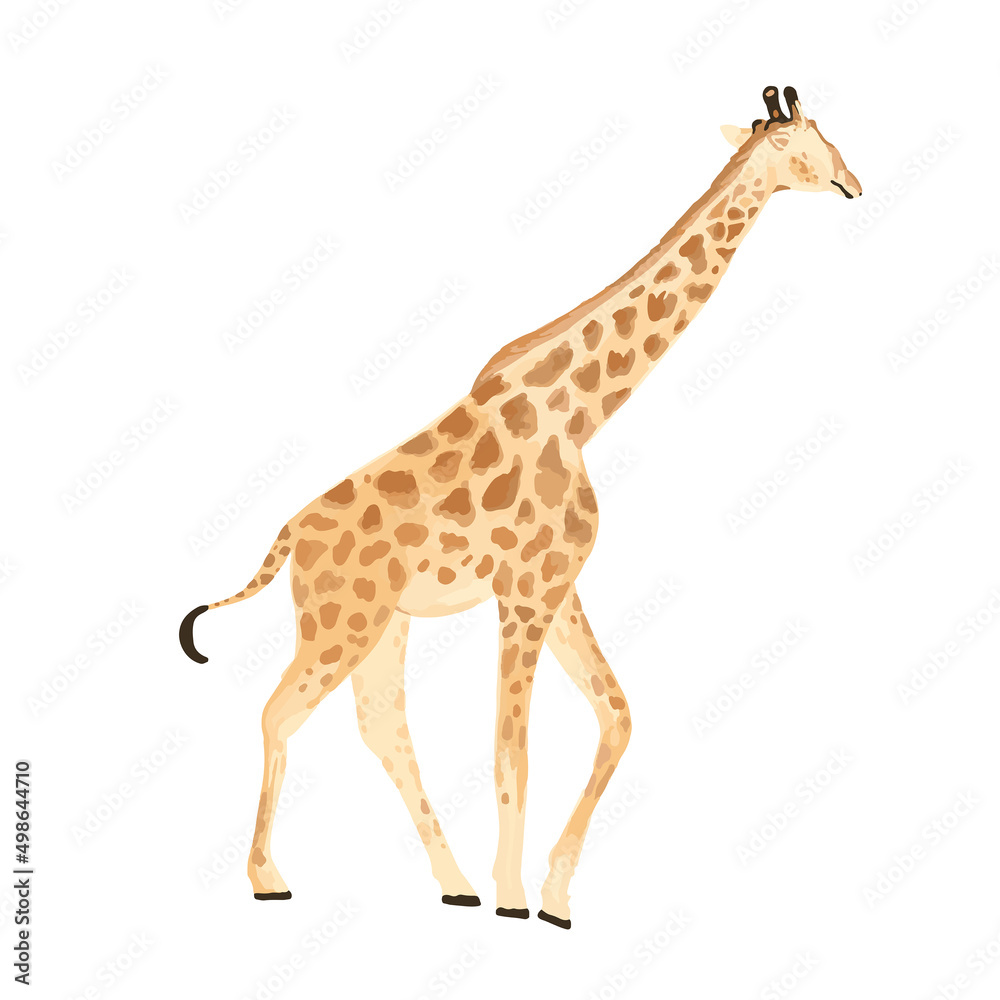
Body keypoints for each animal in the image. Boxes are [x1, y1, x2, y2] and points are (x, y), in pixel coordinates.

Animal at [180, 86, 861, 929]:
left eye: (824, 136)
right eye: (801, 143)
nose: (851, 184)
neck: (580, 414)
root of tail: (286, 539)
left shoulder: (559, 586)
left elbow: (616, 715)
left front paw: (556, 895)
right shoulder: (525, 591)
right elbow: (514, 746)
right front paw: (515, 898)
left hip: (385, 623)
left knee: (382, 726)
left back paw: (454, 882)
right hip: (342, 620)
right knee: (281, 712)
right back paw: (272, 877)